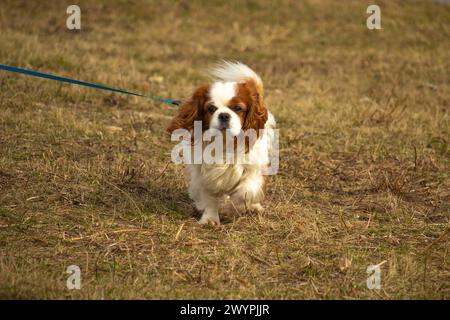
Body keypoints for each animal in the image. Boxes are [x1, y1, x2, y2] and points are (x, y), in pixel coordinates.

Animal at [167, 60, 276, 225]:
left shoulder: (252, 169)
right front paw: (210, 219)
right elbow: (210, 197)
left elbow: (245, 192)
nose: (224, 115)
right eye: (211, 108)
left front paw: (232, 209)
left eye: (238, 108)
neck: (225, 142)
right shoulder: (205, 175)